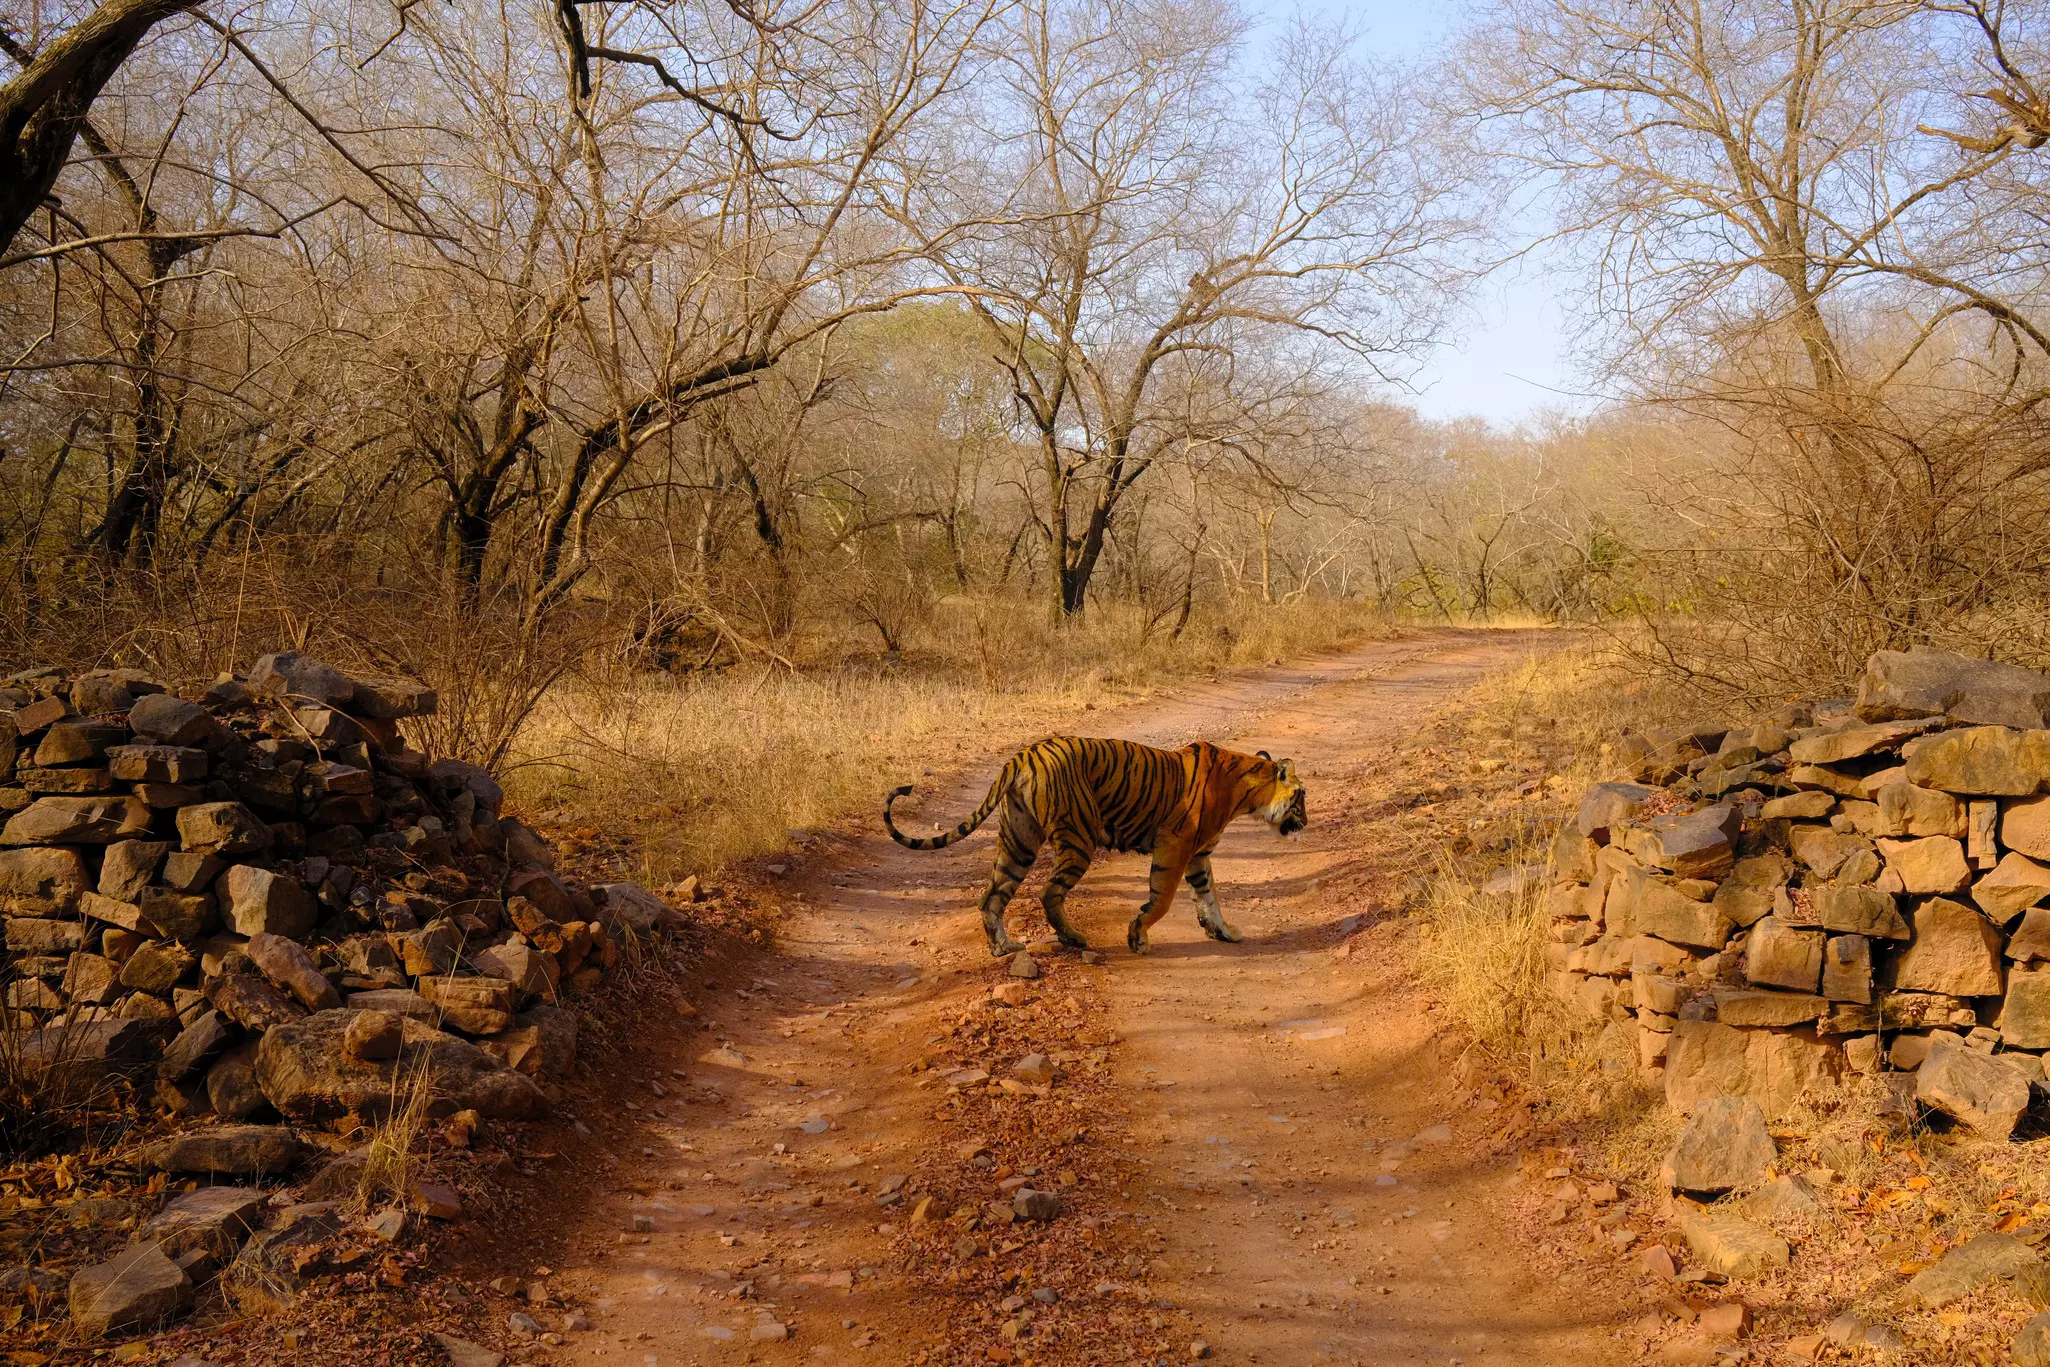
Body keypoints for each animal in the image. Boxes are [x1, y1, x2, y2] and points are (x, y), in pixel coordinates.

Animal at [883, 736, 1307, 957]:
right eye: (1302, 798)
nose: (1305, 823)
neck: (1248, 791)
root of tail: (1023, 755)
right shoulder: (1176, 844)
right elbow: (1163, 899)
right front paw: (1138, 936)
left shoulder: (1199, 855)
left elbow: (1209, 896)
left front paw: (1223, 931)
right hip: (1079, 838)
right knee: (1049, 892)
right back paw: (1073, 939)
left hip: (1019, 840)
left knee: (992, 896)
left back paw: (1004, 948)